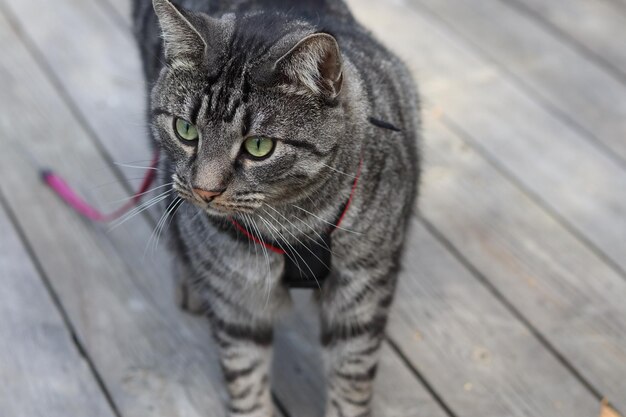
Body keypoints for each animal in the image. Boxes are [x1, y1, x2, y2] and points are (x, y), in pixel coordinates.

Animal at [132, 1, 420, 414]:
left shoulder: (362, 289)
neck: (294, 223)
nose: (205, 190)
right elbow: (246, 380)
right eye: (185, 129)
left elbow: (351, 381)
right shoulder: (236, 300)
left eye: (259, 147)